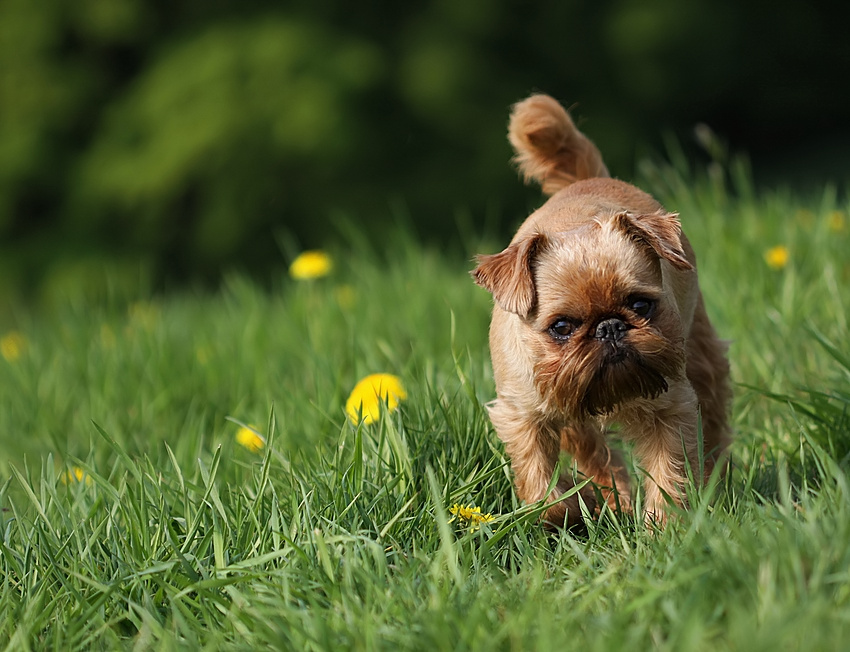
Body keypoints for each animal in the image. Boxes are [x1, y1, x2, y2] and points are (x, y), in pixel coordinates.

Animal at [470, 94, 728, 528]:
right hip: (573, 419)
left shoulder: (670, 409)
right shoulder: (523, 416)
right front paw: (573, 507)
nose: (609, 328)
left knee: (712, 417)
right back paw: (613, 499)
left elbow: (670, 472)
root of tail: (584, 179)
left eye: (640, 305)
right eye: (561, 327)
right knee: (600, 457)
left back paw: (713, 477)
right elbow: (542, 488)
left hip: (700, 354)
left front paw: (665, 529)